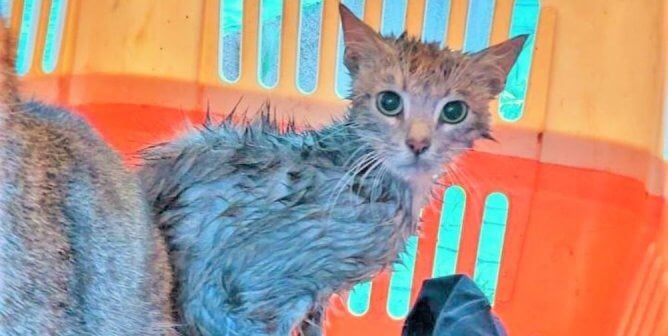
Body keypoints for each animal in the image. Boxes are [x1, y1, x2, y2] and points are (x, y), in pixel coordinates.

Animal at [141, 3, 528, 336]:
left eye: (454, 111)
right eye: (389, 102)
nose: (418, 144)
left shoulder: (317, 297)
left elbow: (315, 324)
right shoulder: (256, 296)